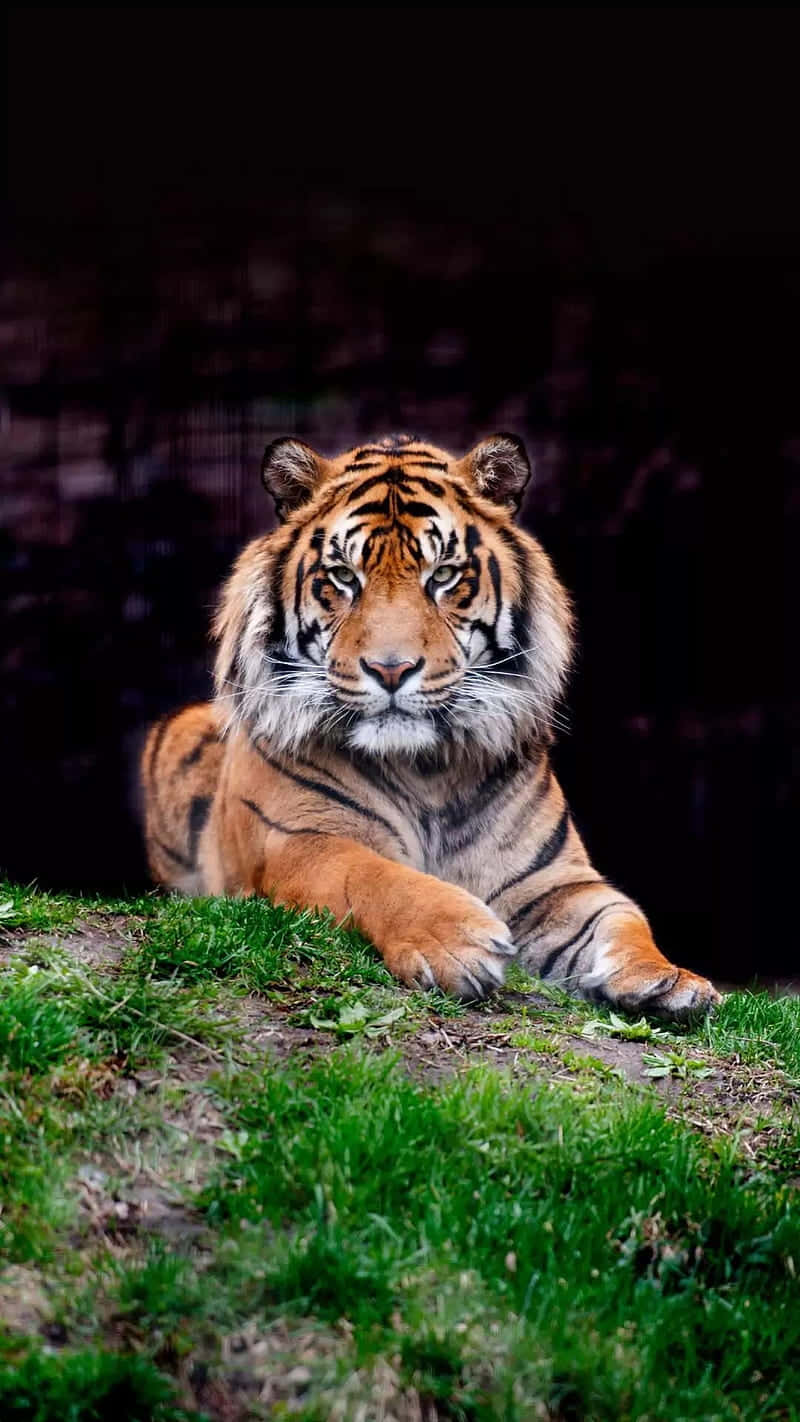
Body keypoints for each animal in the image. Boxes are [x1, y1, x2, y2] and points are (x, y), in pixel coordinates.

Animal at [140, 432, 720, 1018]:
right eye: (344, 577)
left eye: (443, 576)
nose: (390, 669)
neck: (426, 769)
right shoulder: (297, 844)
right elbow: (373, 875)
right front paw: (458, 942)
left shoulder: (556, 882)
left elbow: (621, 918)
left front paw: (669, 979)